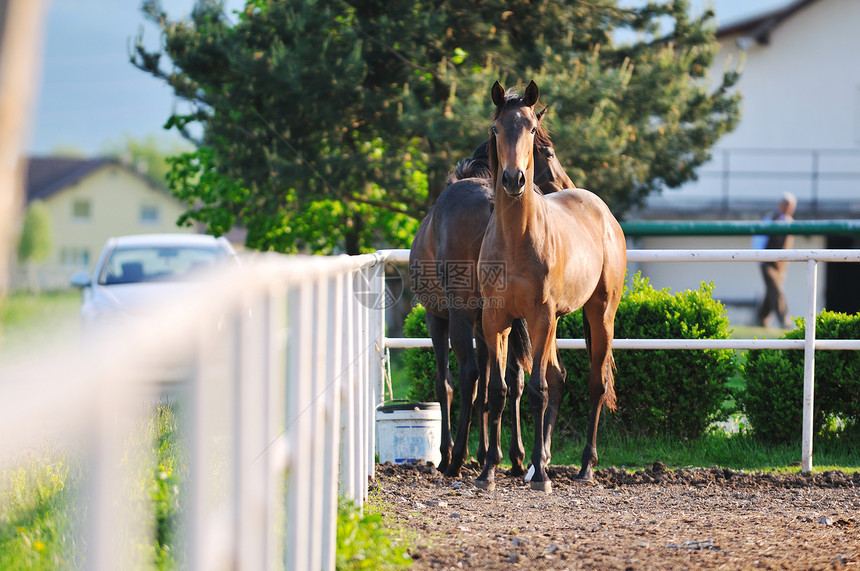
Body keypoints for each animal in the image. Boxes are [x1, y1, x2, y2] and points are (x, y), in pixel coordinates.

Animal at [412, 131, 576, 478]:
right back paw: (516, 458)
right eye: (550, 154)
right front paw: (491, 453)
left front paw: (453, 453)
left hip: (459, 316)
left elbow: (447, 384)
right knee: (512, 380)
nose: (567, 185)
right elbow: (495, 385)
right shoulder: (488, 322)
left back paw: (455, 459)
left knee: (468, 376)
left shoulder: (438, 317)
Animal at [478, 80, 624, 492]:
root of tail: (602, 210)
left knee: (594, 383)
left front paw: (542, 478)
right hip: (556, 321)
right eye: (497, 129)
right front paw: (488, 471)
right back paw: (540, 459)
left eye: (530, 128)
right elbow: (498, 391)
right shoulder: (496, 321)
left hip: (599, 315)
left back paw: (585, 467)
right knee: (559, 378)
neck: (515, 240)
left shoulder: (539, 318)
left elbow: (537, 391)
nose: (513, 179)